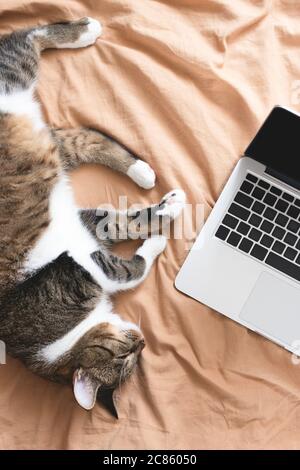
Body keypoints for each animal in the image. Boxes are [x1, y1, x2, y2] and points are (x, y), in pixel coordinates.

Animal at [0, 16, 185, 410]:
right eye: (126, 357)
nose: (142, 340)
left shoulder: (82, 238)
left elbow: (124, 223)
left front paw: (168, 208)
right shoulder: (84, 260)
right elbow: (132, 265)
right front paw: (159, 237)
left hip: (17, 81)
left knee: (26, 37)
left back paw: (84, 31)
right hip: (47, 138)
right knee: (86, 138)